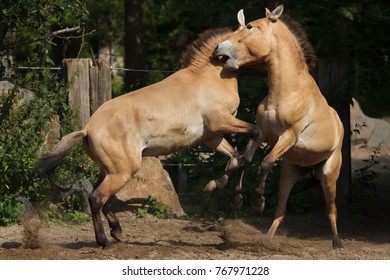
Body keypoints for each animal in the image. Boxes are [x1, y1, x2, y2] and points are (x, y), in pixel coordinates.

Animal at [35, 27, 262, 247]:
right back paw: (104, 241)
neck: (210, 76)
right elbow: (254, 137)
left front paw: (224, 191)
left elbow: (236, 158)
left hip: (110, 170)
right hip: (123, 172)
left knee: (104, 199)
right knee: (96, 198)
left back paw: (117, 231)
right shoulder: (221, 122)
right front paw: (240, 198)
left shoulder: (212, 136)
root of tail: (88, 128)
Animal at [213, 5, 344, 248]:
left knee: (331, 209)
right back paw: (267, 240)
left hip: (329, 174)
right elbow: (245, 159)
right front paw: (237, 199)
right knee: (281, 211)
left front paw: (257, 201)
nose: (218, 47)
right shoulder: (264, 133)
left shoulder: (289, 136)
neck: (286, 92)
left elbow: (265, 163)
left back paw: (337, 242)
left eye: (249, 26)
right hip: (288, 175)